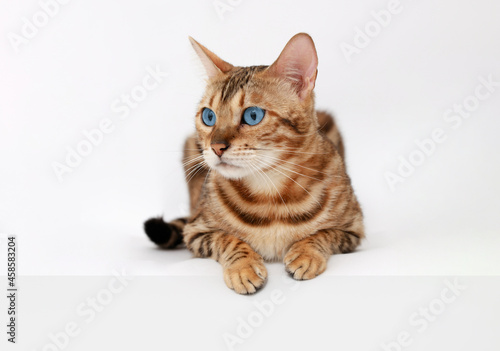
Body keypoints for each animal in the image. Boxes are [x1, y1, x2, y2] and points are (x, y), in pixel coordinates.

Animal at [145, 33, 364, 294]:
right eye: (208, 116)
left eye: (253, 116)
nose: (216, 147)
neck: (271, 196)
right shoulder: (196, 232)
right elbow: (228, 239)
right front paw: (243, 268)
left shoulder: (354, 229)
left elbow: (324, 234)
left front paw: (306, 254)